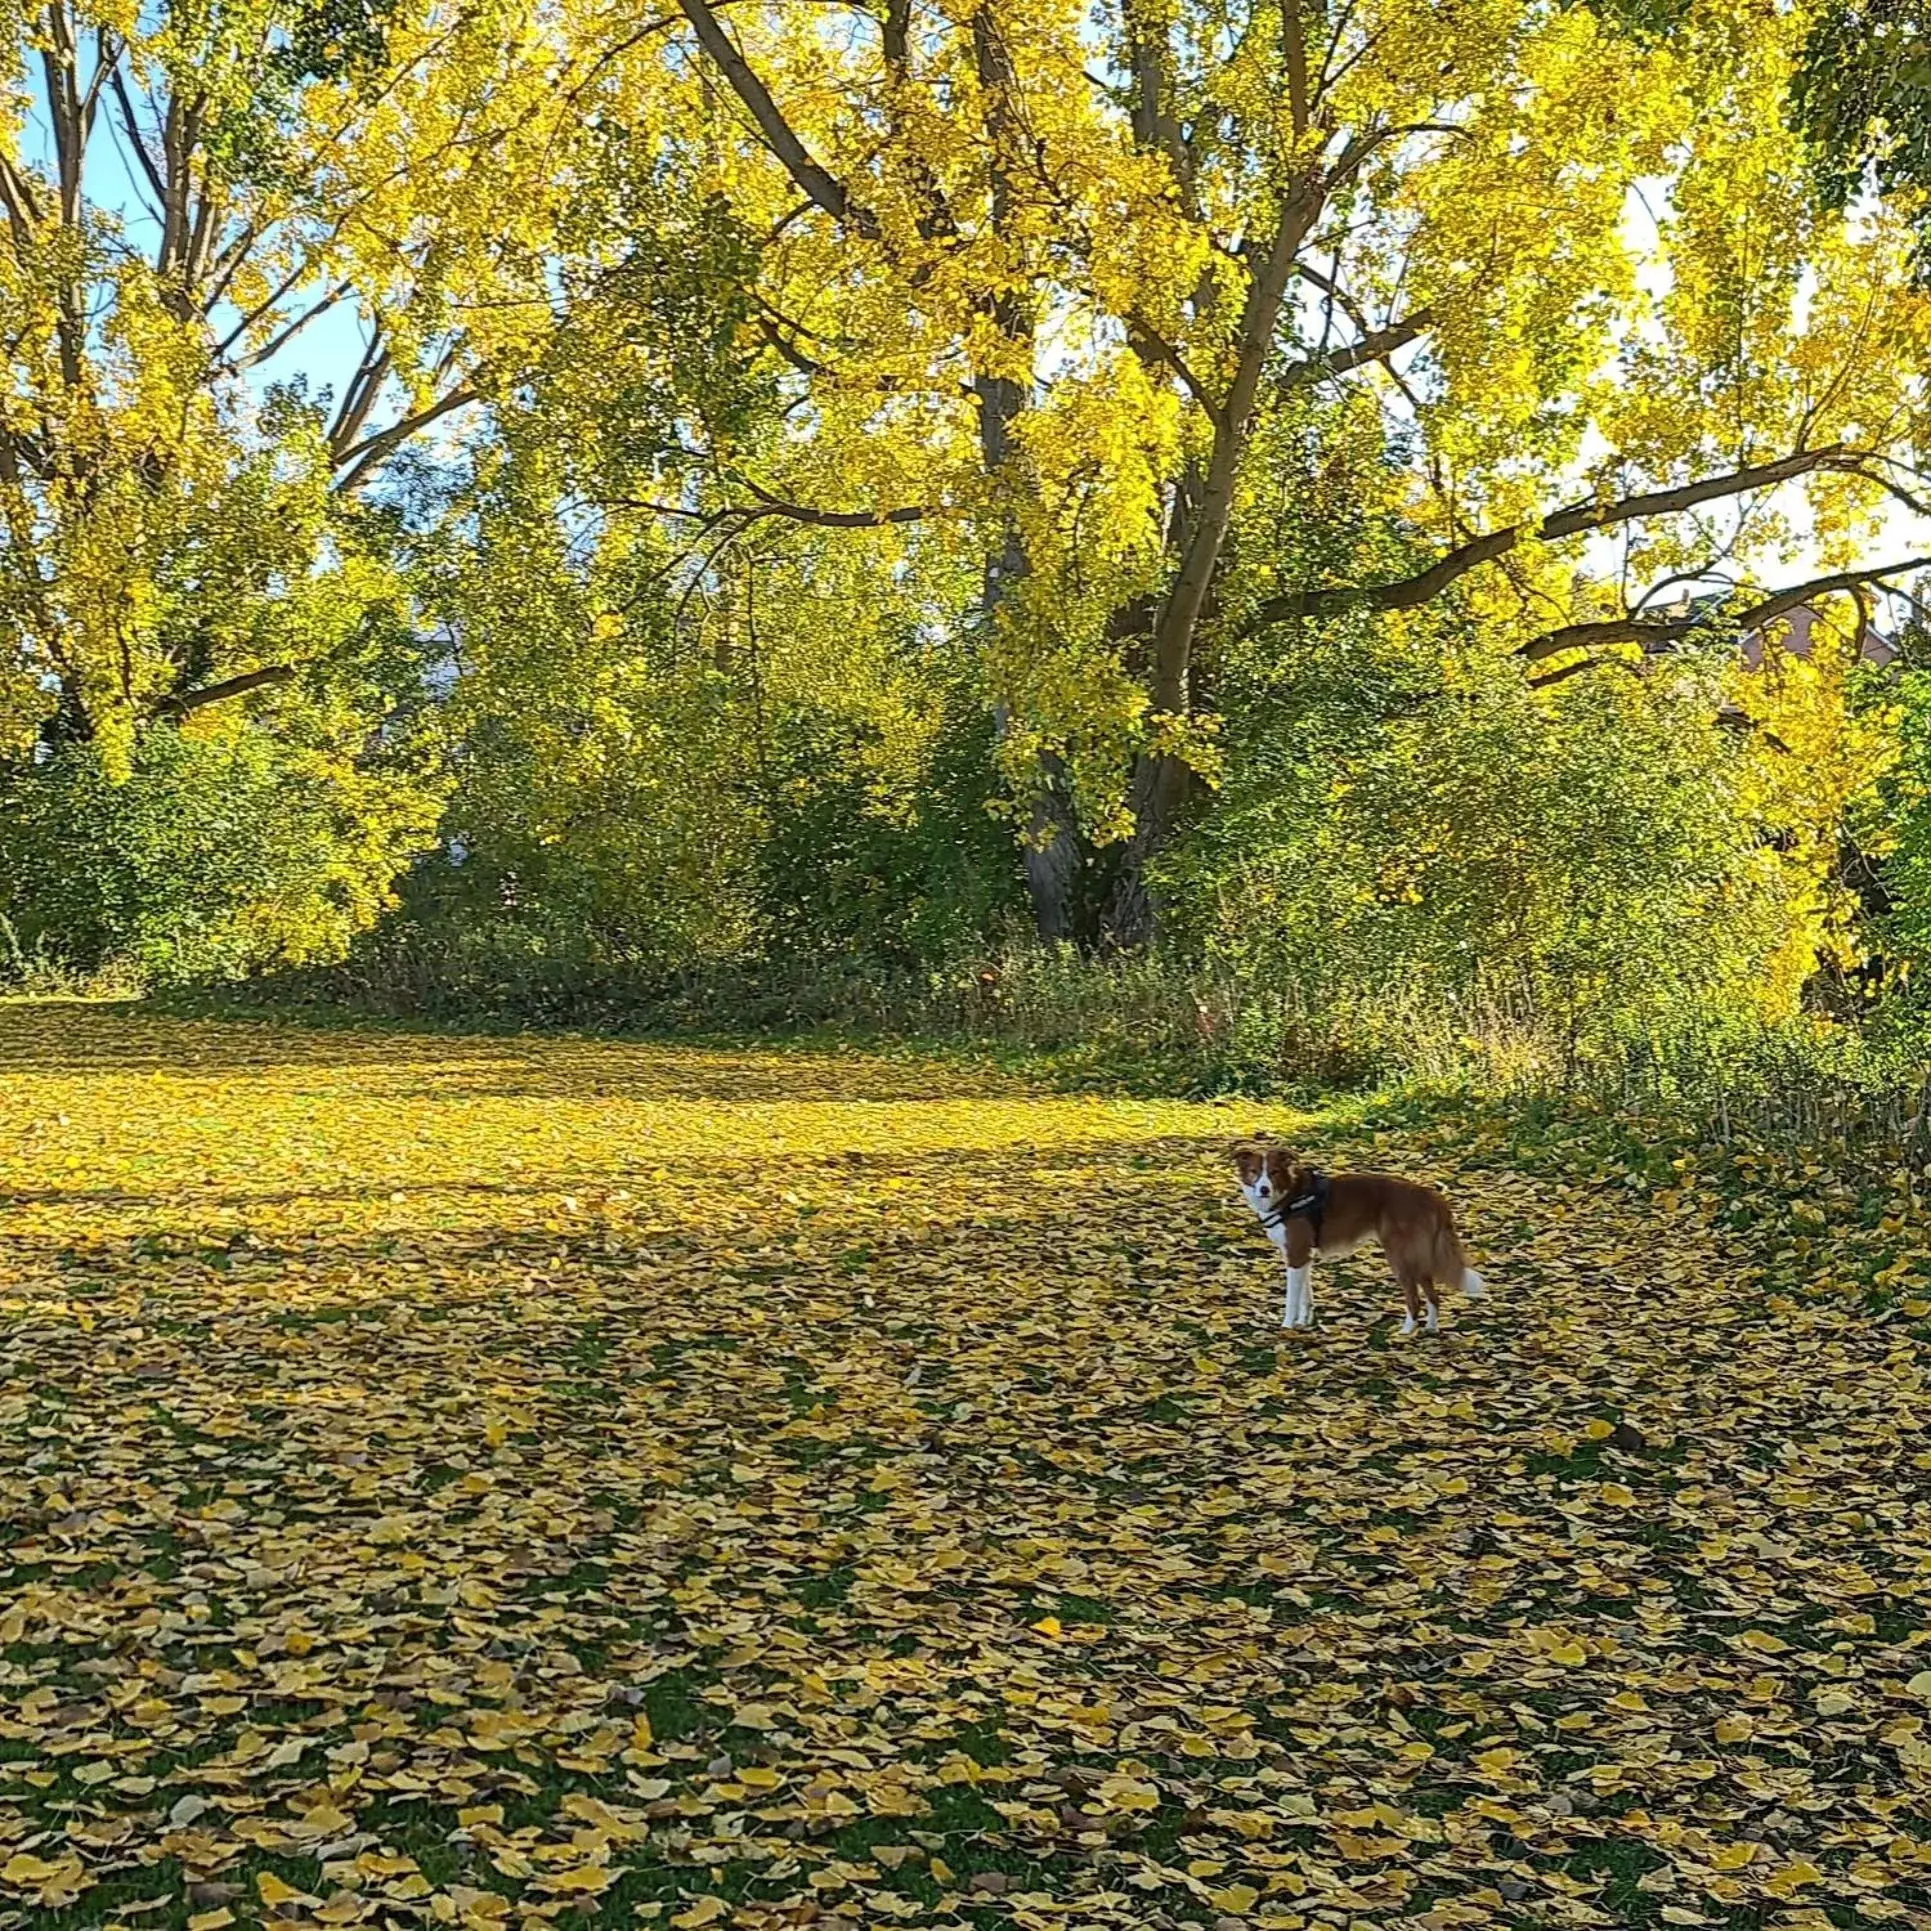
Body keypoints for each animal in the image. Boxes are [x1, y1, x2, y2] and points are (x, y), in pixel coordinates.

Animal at [1228, 1135, 1483, 1336]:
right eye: (1254, 1172)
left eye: (1273, 1173)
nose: (1264, 1189)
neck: (1289, 1194)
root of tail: (1431, 1196)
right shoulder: (1302, 1255)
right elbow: (1305, 1295)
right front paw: (1304, 1322)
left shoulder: (1296, 1254)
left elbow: (1292, 1297)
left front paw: (1288, 1326)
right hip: (1418, 1256)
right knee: (1433, 1295)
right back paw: (1431, 1328)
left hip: (1400, 1255)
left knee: (1415, 1298)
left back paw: (1405, 1332)